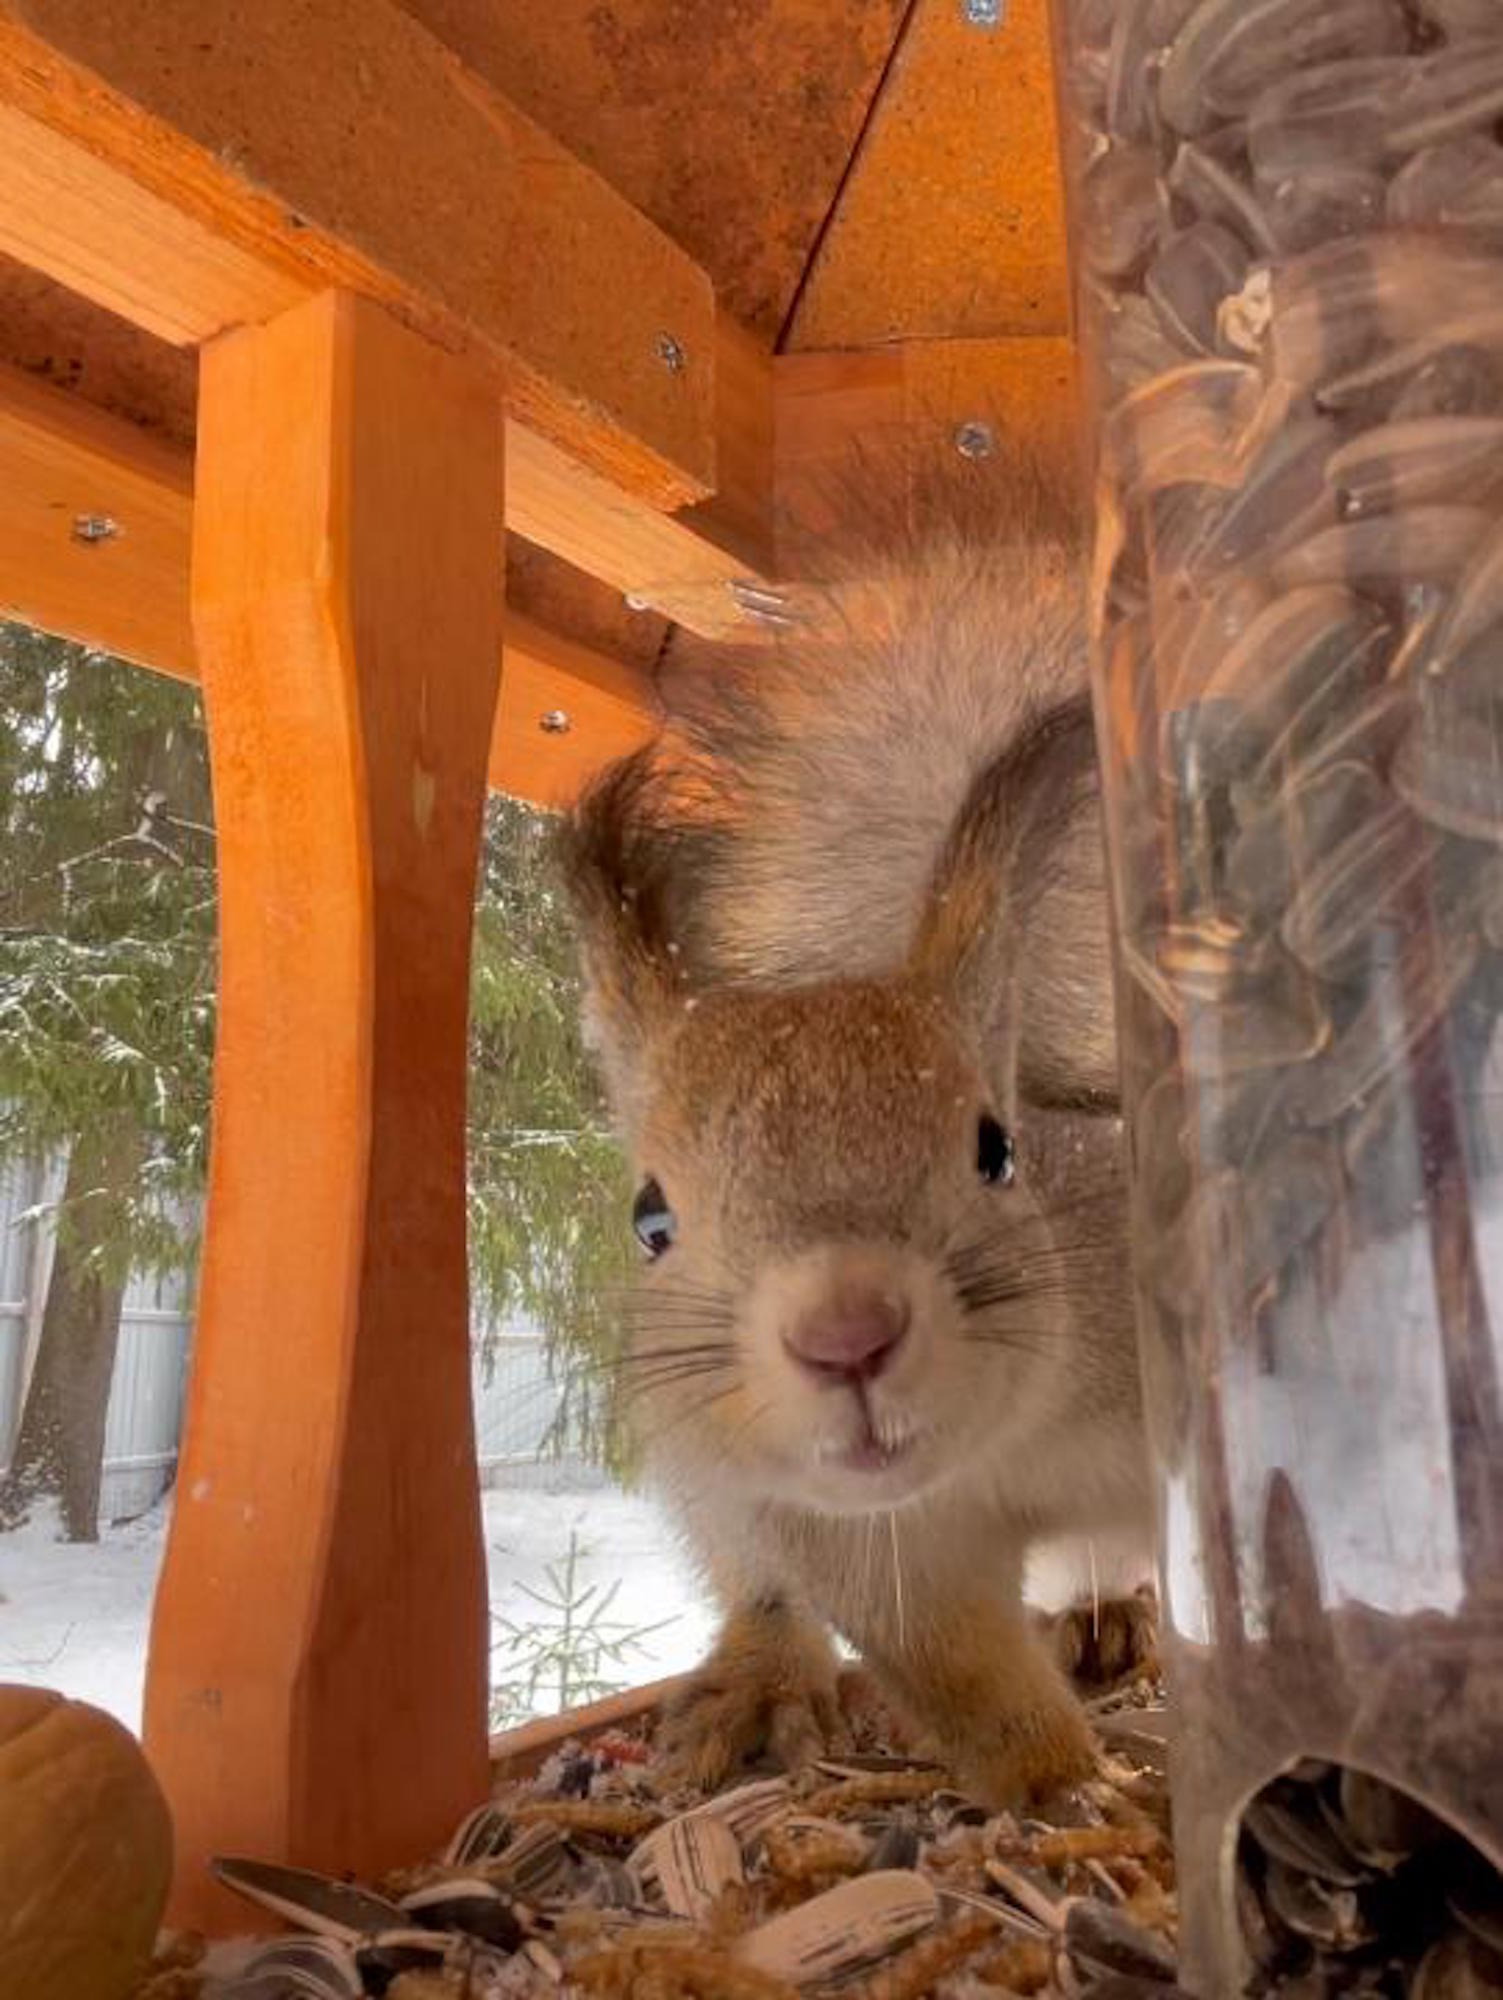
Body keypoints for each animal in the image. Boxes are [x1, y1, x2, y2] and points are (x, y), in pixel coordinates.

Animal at [559, 430, 1159, 1808]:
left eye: (996, 1150)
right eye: (650, 1216)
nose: (847, 1334)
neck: (1016, 1443)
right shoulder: (885, 1548)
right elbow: (966, 1676)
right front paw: (1061, 1784)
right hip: (708, 1468)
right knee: (760, 1584)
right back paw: (760, 1675)